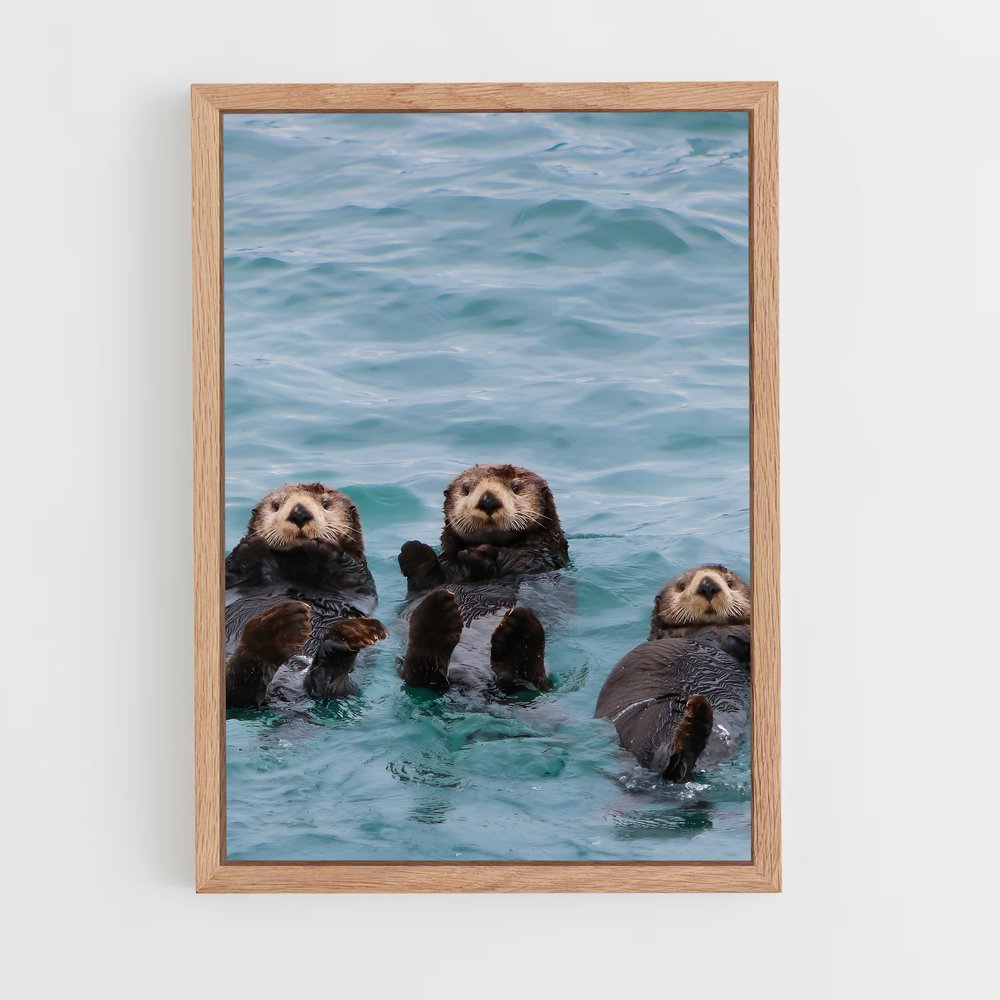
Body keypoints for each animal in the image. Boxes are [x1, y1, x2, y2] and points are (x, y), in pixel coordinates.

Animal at [224, 482, 388, 709]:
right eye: (276, 504)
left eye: (325, 503)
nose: (299, 513)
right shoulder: (234, 581)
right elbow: (235, 570)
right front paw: (254, 544)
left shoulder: (359, 581)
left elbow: (349, 571)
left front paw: (321, 547)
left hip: (346, 687)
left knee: (327, 685)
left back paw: (347, 637)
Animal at [396, 464, 569, 694]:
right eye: (466, 488)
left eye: (516, 487)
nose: (488, 500)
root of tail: (472, 680)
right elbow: (427, 579)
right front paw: (414, 551)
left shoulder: (540, 559)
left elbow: (516, 558)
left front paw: (478, 554)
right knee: (417, 674)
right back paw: (437, 616)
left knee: (536, 682)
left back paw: (519, 633)